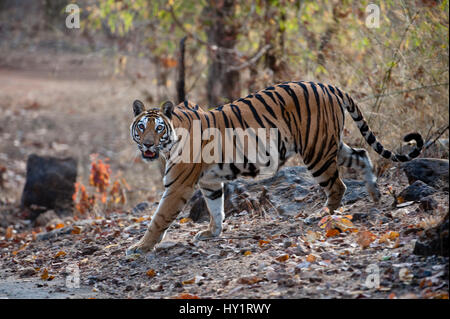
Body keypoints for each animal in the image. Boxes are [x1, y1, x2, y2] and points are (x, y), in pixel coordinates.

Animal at [125, 81, 422, 256]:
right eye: (141, 127)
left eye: (158, 128)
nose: (148, 144)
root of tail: (328, 85)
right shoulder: (209, 183)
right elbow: (216, 208)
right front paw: (212, 232)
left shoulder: (178, 186)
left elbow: (159, 218)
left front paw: (140, 247)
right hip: (330, 144)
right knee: (361, 155)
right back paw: (375, 195)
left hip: (315, 150)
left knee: (338, 185)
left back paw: (321, 215)